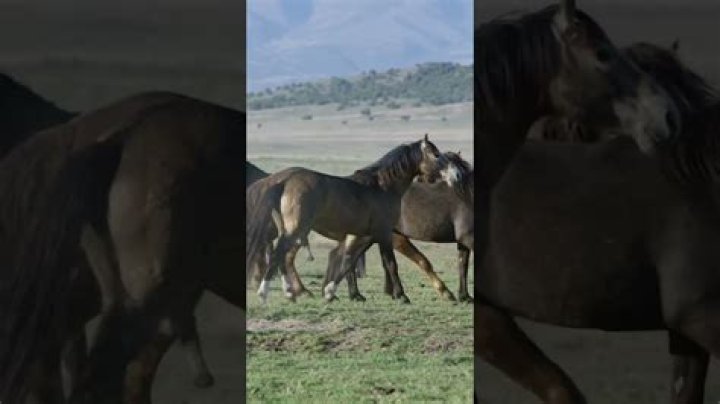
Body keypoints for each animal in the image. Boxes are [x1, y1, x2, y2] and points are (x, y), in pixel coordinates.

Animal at [246, 135, 459, 304]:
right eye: (436, 154)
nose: (455, 176)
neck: (381, 187)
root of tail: (284, 179)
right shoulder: (383, 233)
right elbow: (389, 263)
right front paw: (401, 295)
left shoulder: (363, 235)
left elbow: (348, 261)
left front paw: (331, 291)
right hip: (295, 229)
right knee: (278, 254)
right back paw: (266, 293)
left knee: (283, 256)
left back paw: (291, 293)